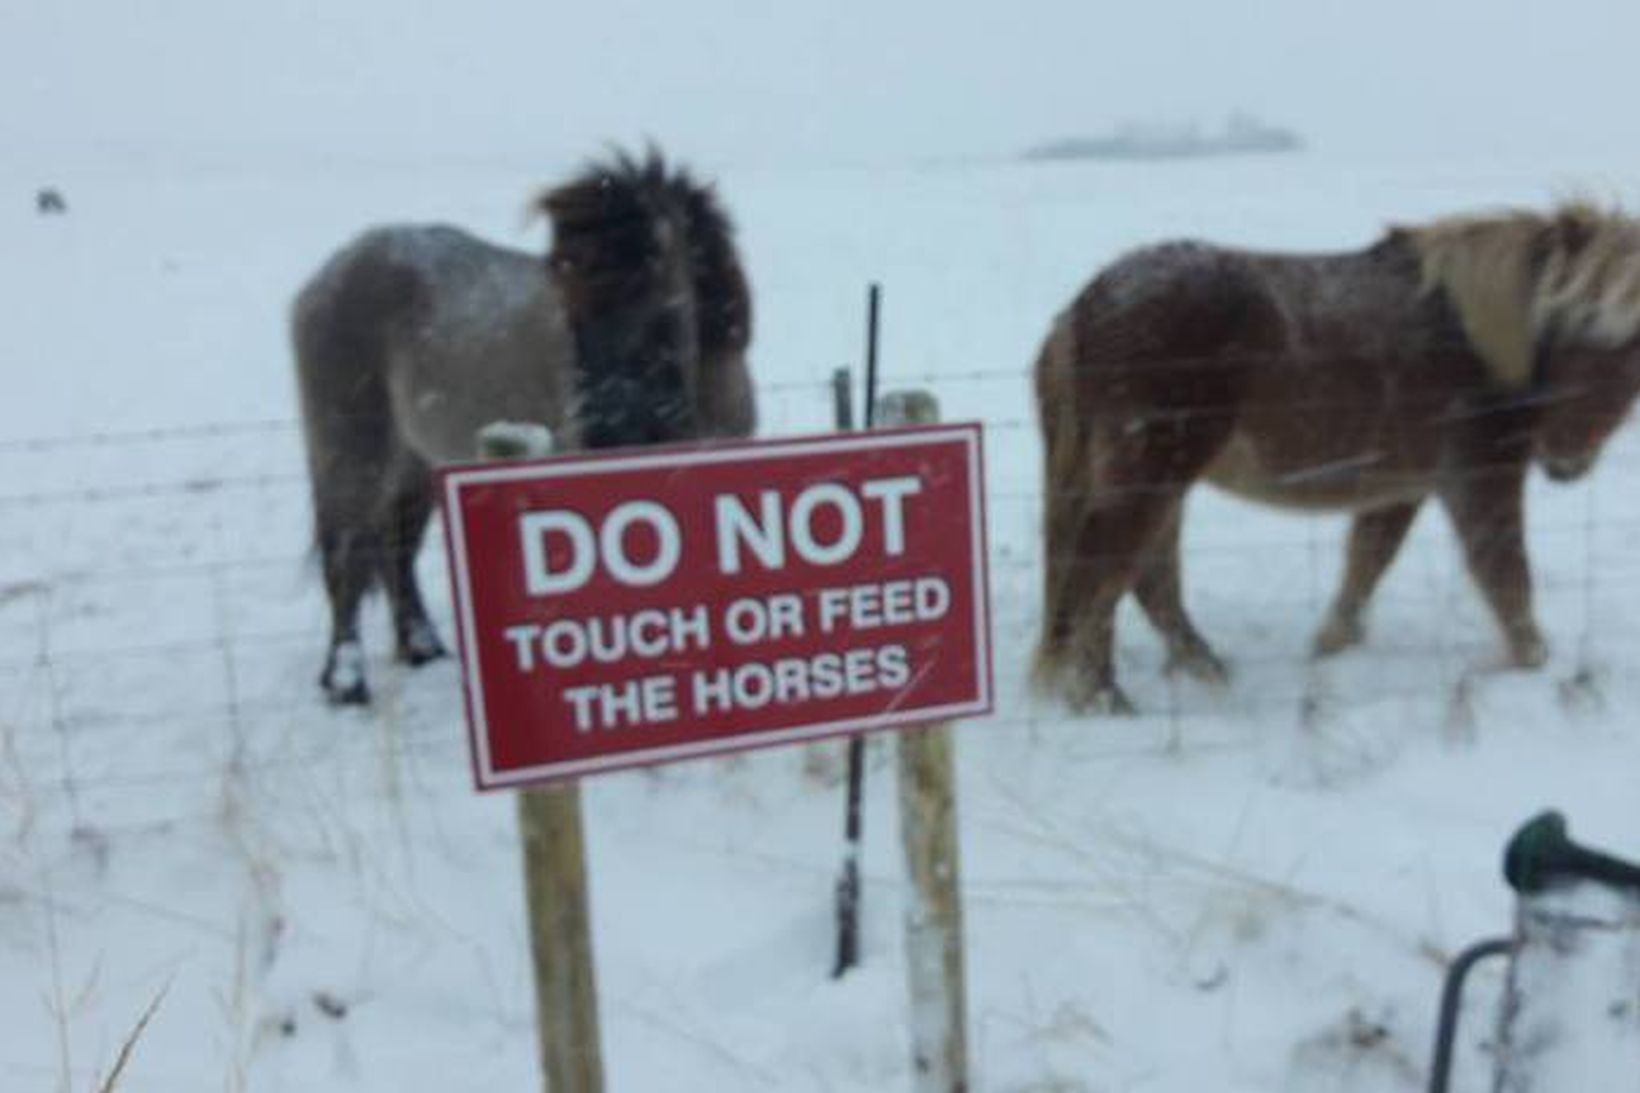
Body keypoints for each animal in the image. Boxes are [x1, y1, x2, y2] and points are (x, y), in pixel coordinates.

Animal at [295, 149, 754, 702]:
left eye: (657, 298)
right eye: (570, 314)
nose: (605, 435)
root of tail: (330, 273)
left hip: (414, 464)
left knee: (396, 551)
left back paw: (421, 649)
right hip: (352, 456)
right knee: (348, 558)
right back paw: (346, 681)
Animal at [1029, 203, 1640, 712]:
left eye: (1630, 358)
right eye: (1568, 323)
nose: (1565, 461)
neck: (1475, 338)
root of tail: (1086, 308)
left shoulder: (1402, 487)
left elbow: (1367, 565)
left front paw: (1328, 650)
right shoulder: (1480, 479)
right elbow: (1507, 577)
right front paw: (1531, 665)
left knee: (1143, 579)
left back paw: (1202, 673)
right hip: (1152, 474)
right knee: (1101, 576)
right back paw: (1104, 699)